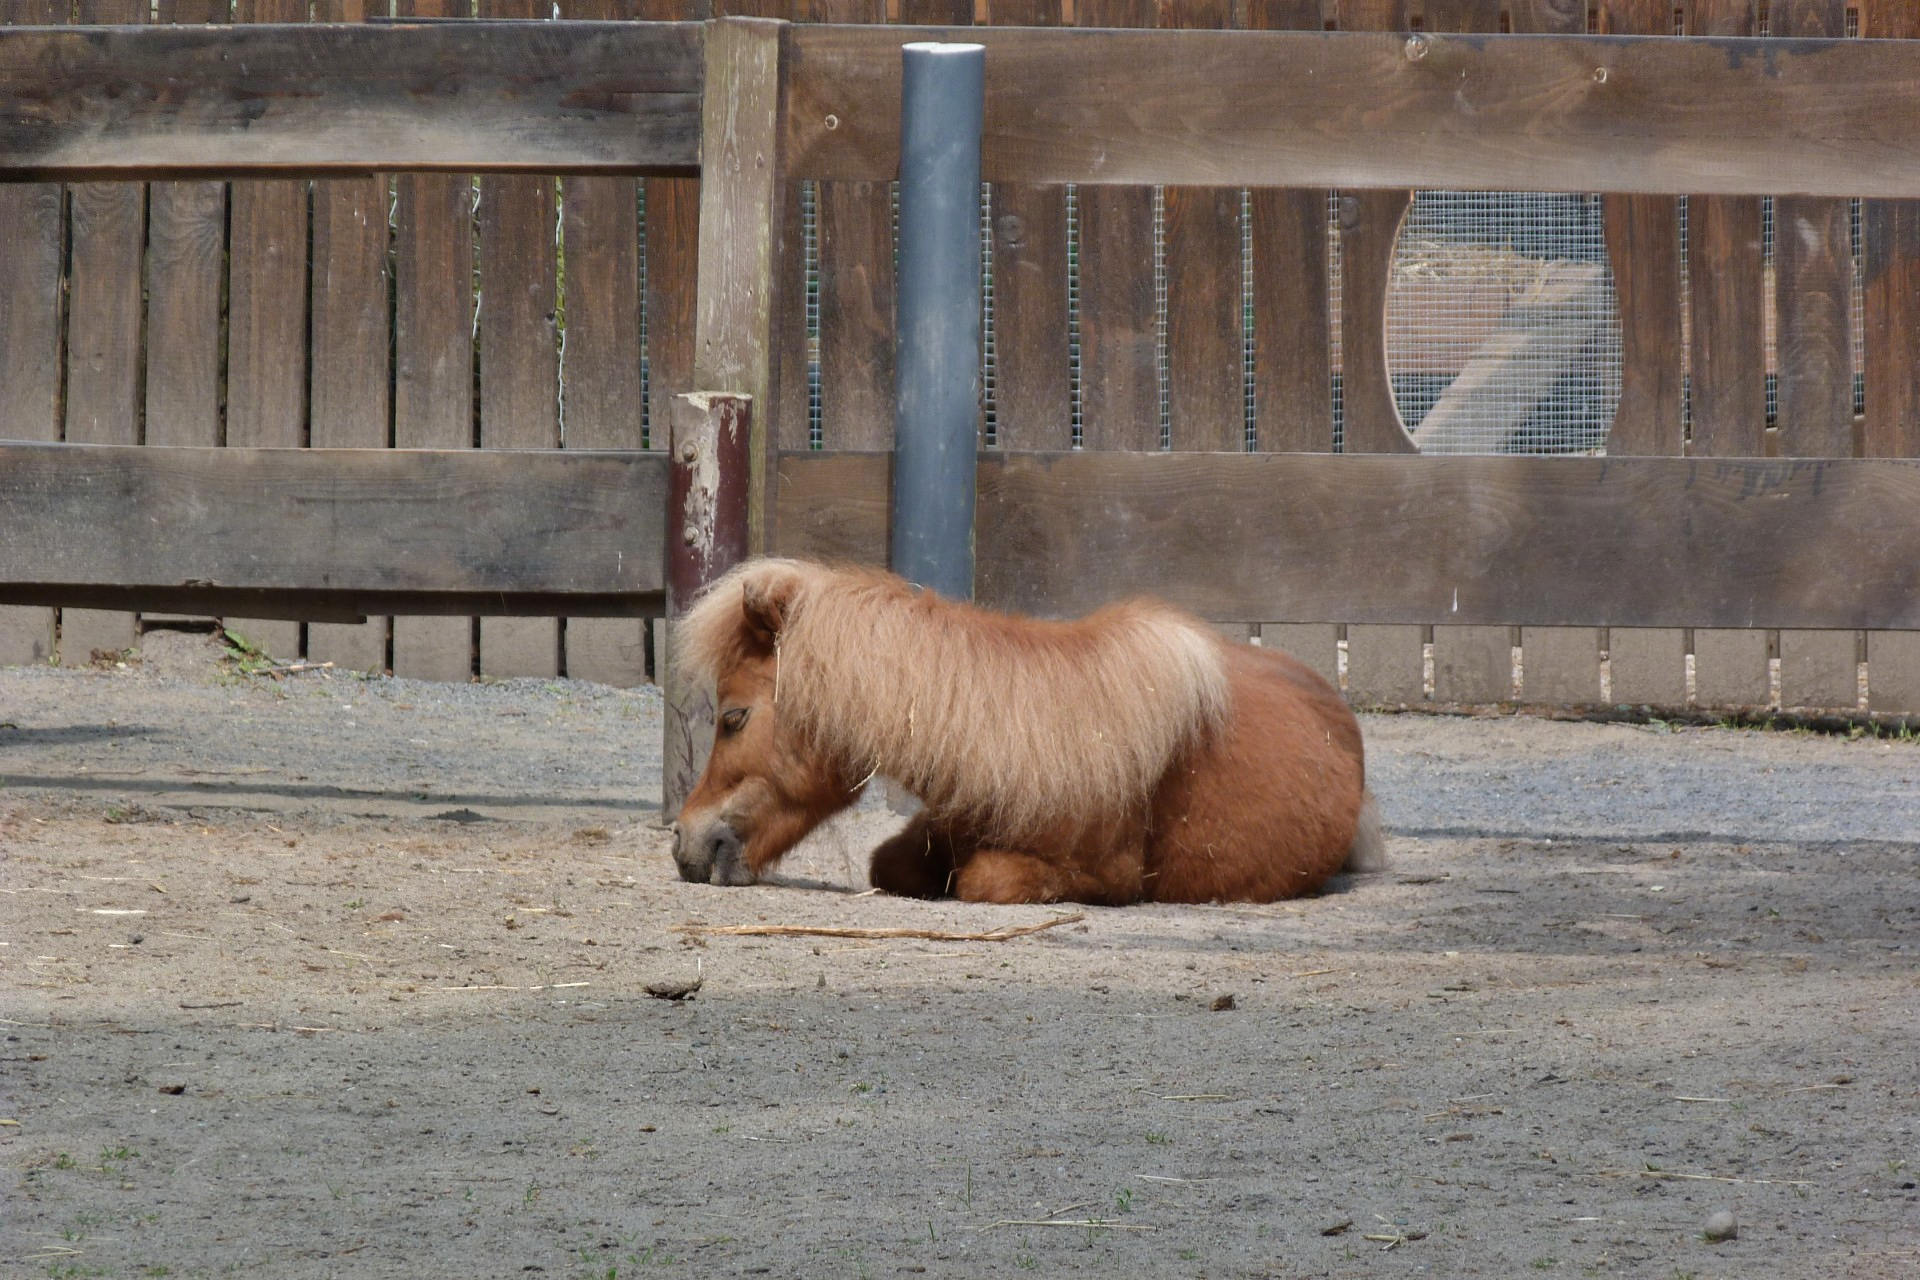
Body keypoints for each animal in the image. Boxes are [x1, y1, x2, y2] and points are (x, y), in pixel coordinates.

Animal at [669, 558, 1383, 905]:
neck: (1024, 738)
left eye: (733, 717)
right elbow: (890, 861)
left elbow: (983, 880)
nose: (684, 840)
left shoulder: (1108, 879)